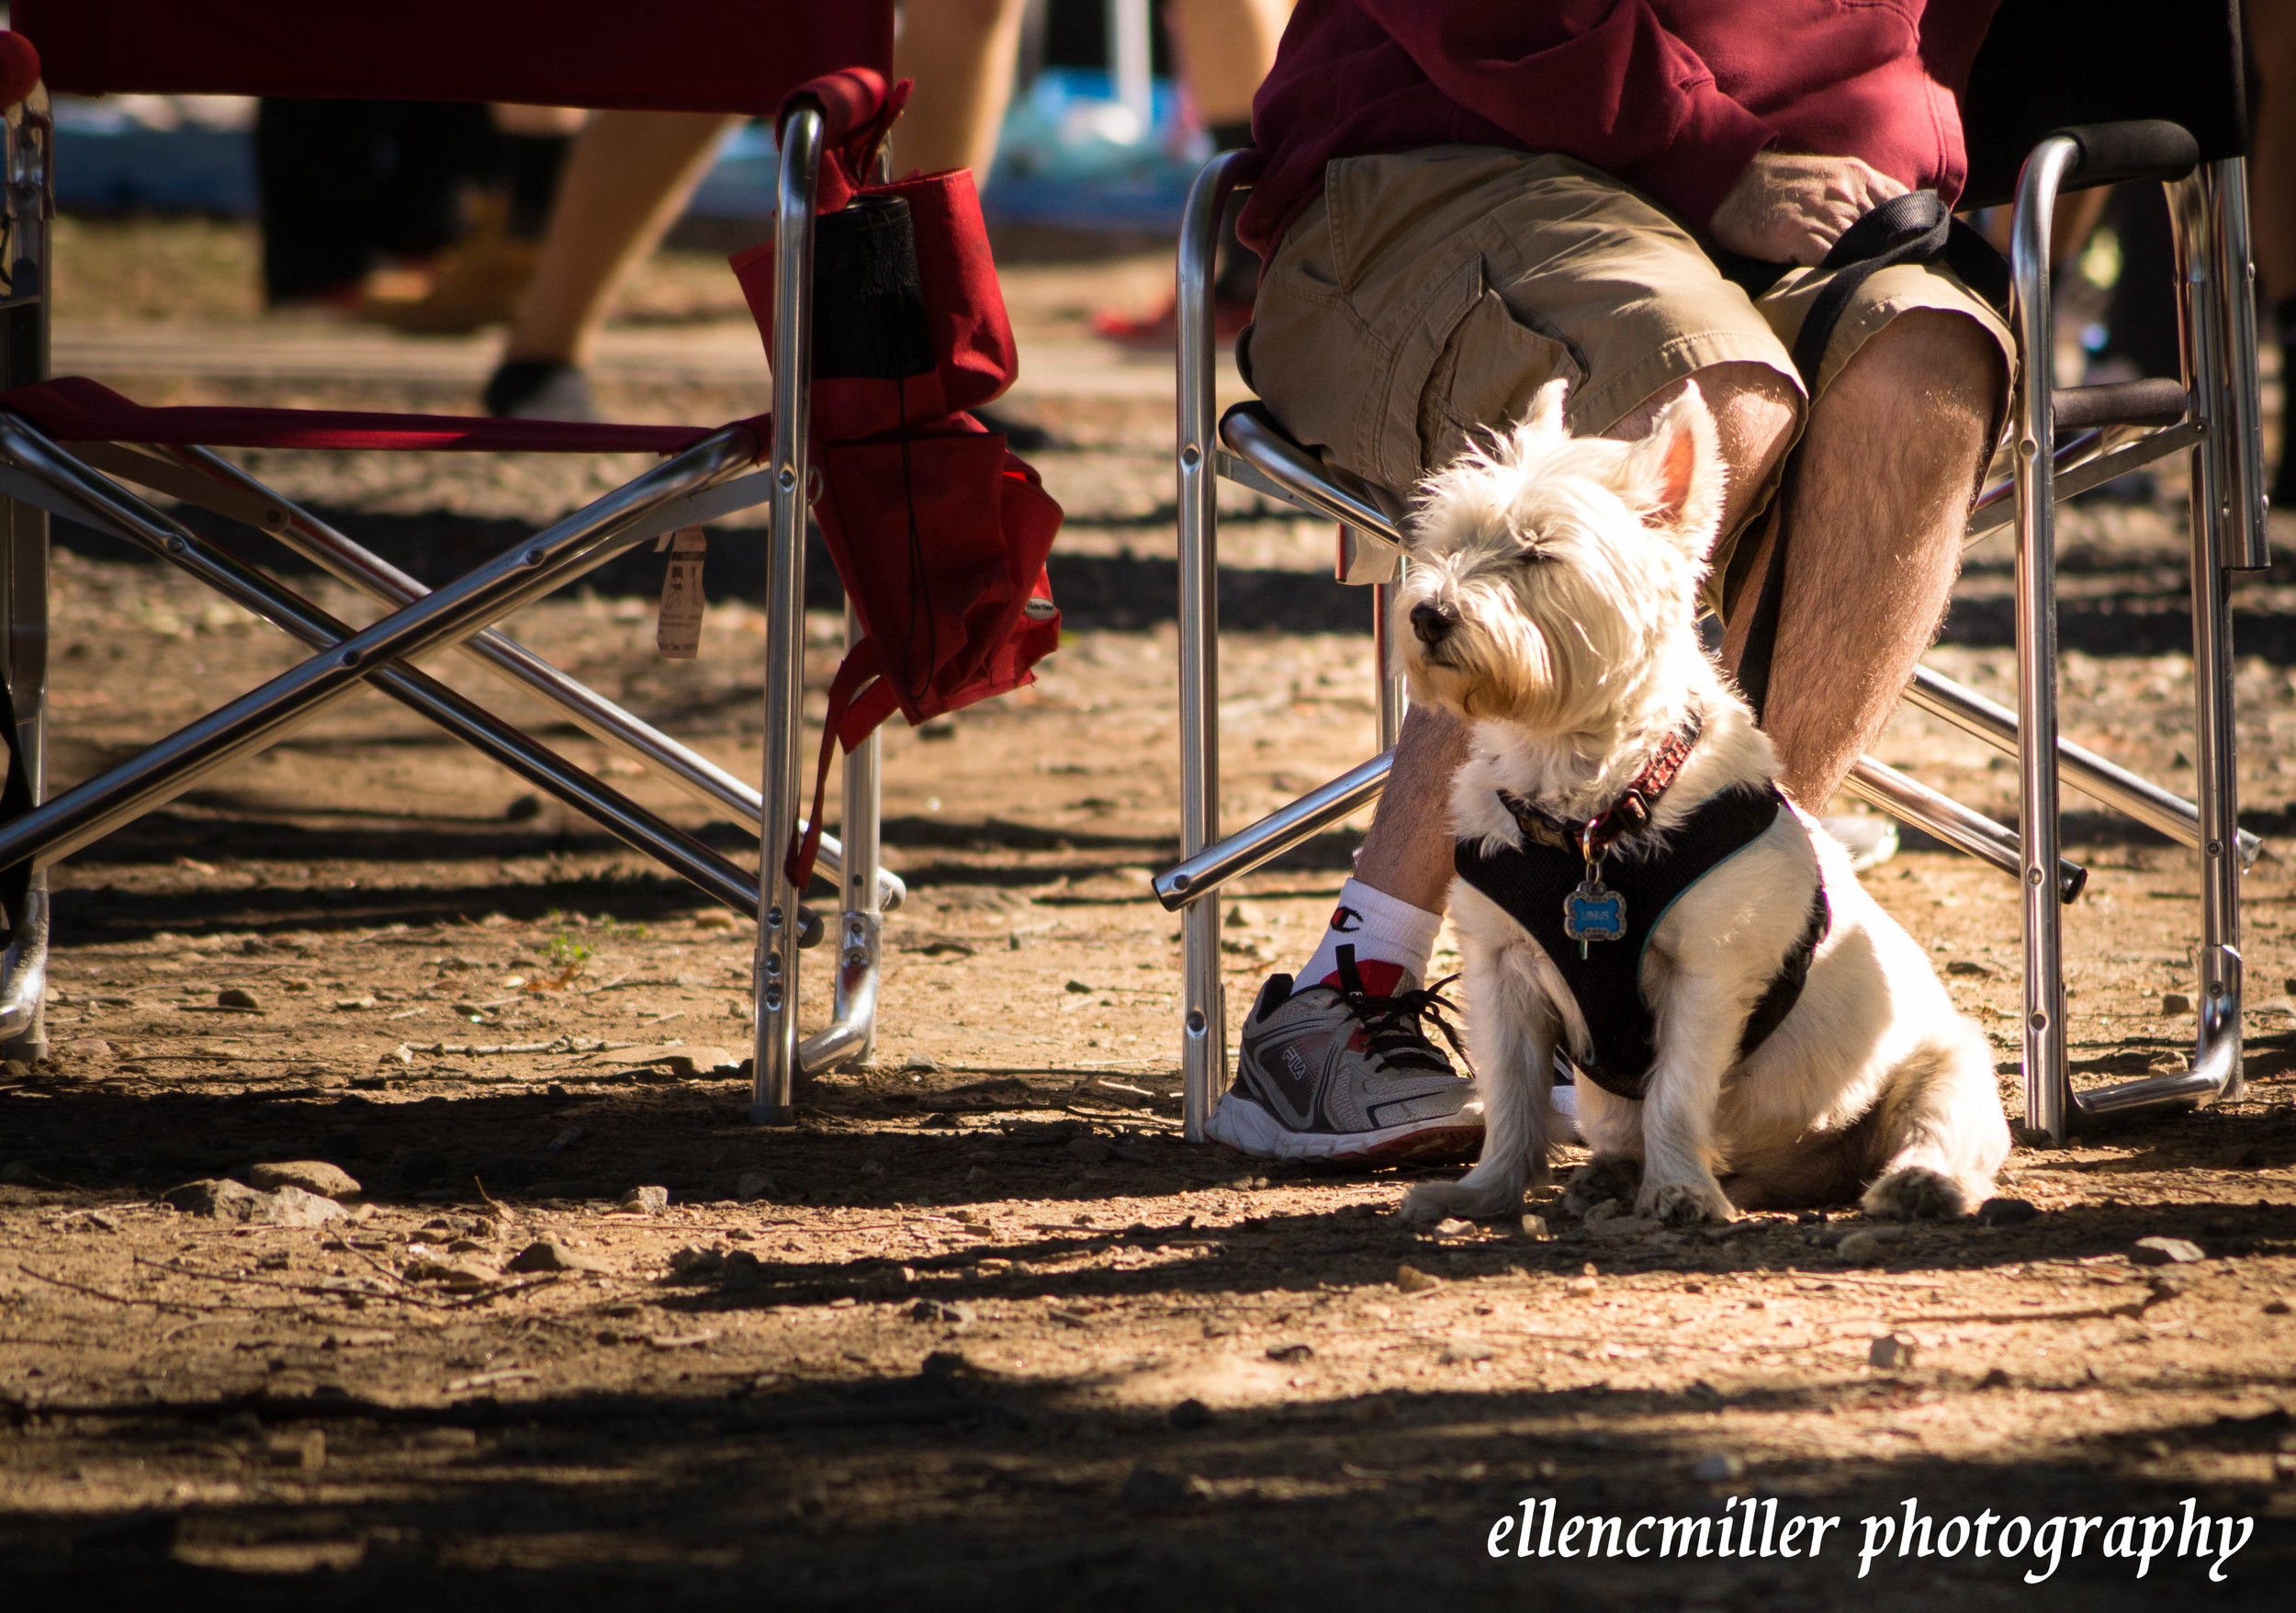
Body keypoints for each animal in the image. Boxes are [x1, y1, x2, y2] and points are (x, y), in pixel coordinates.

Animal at [1387, 381, 2002, 1240]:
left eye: (1539, 553)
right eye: (1448, 543)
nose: (1428, 615)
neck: (1588, 812)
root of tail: (1807, 1170)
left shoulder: (1707, 973)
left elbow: (1676, 1092)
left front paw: (1679, 1191)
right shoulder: (1499, 968)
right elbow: (1511, 1095)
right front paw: (1482, 1194)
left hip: (1946, 1062)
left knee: (1934, 1126)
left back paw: (1918, 1185)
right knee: (1619, 1130)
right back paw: (1608, 1178)